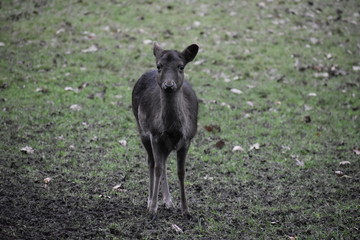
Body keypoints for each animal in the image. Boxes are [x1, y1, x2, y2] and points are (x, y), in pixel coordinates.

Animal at [132, 43, 200, 219]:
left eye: (181, 66)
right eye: (159, 66)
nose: (169, 85)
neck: (173, 129)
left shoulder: (187, 140)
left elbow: (181, 172)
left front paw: (186, 210)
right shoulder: (155, 135)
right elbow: (157, 168)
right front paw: (153, 209)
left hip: (167, 145)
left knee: (163, 162)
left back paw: (168, 202)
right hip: (141, 129)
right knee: (152, 162)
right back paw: (150, 200)